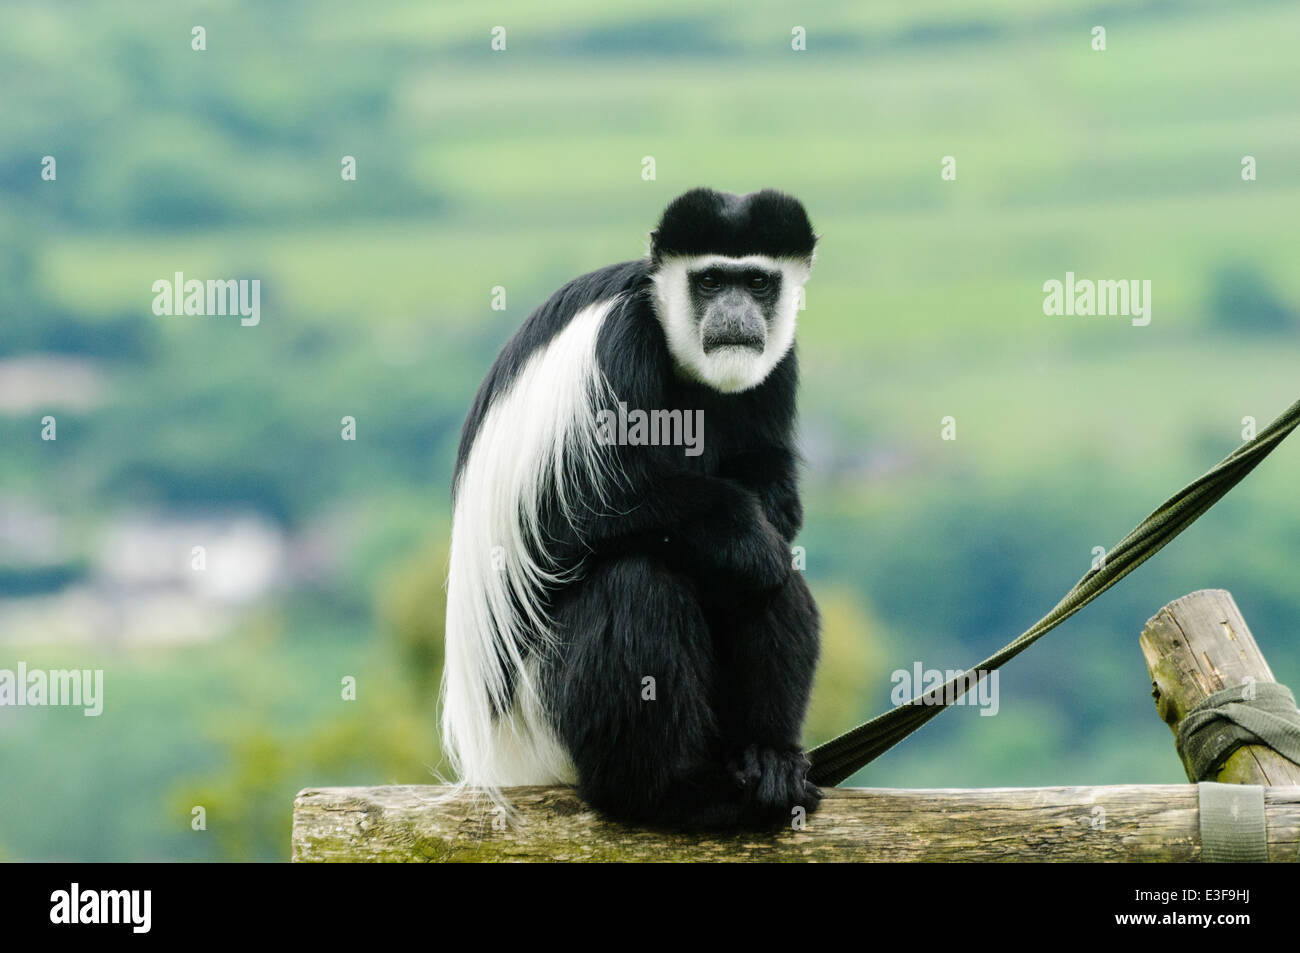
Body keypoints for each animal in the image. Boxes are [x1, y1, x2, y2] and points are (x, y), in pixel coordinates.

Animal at [442, 187, 821, 828]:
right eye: (711, 280)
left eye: (758, 282)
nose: (736, 316)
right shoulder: (617, 350)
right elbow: (572, 515)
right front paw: (745, 533)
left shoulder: (779, 363)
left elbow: (777, 495)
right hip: (543, 716)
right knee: (637, 582)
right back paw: (670, 792)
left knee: (771, 584)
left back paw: (767, 761)